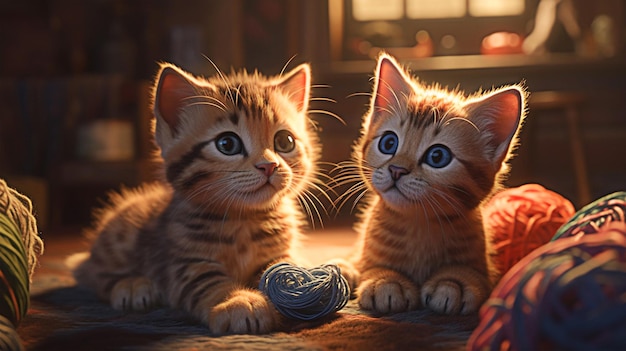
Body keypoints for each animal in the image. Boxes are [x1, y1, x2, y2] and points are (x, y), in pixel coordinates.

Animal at [72, 62, 322, 336]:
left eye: (285, 141)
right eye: (227, 144)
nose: (269, 166)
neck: (244, 218)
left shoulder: (279, 250)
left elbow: (283, 265)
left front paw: (301, 284)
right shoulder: (183, 264)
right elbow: (206, 281)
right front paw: (240, 301)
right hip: (120, 238)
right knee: (93, 274)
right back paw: (132, 286)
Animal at [336, 54, 520, 316]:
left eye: (437, 156)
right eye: (389, 143)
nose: (397, 170)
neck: (418, 226)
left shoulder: (484, 267)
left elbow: (470, 274)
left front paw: (453, 283)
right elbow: (370, 265)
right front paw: (386, 280)